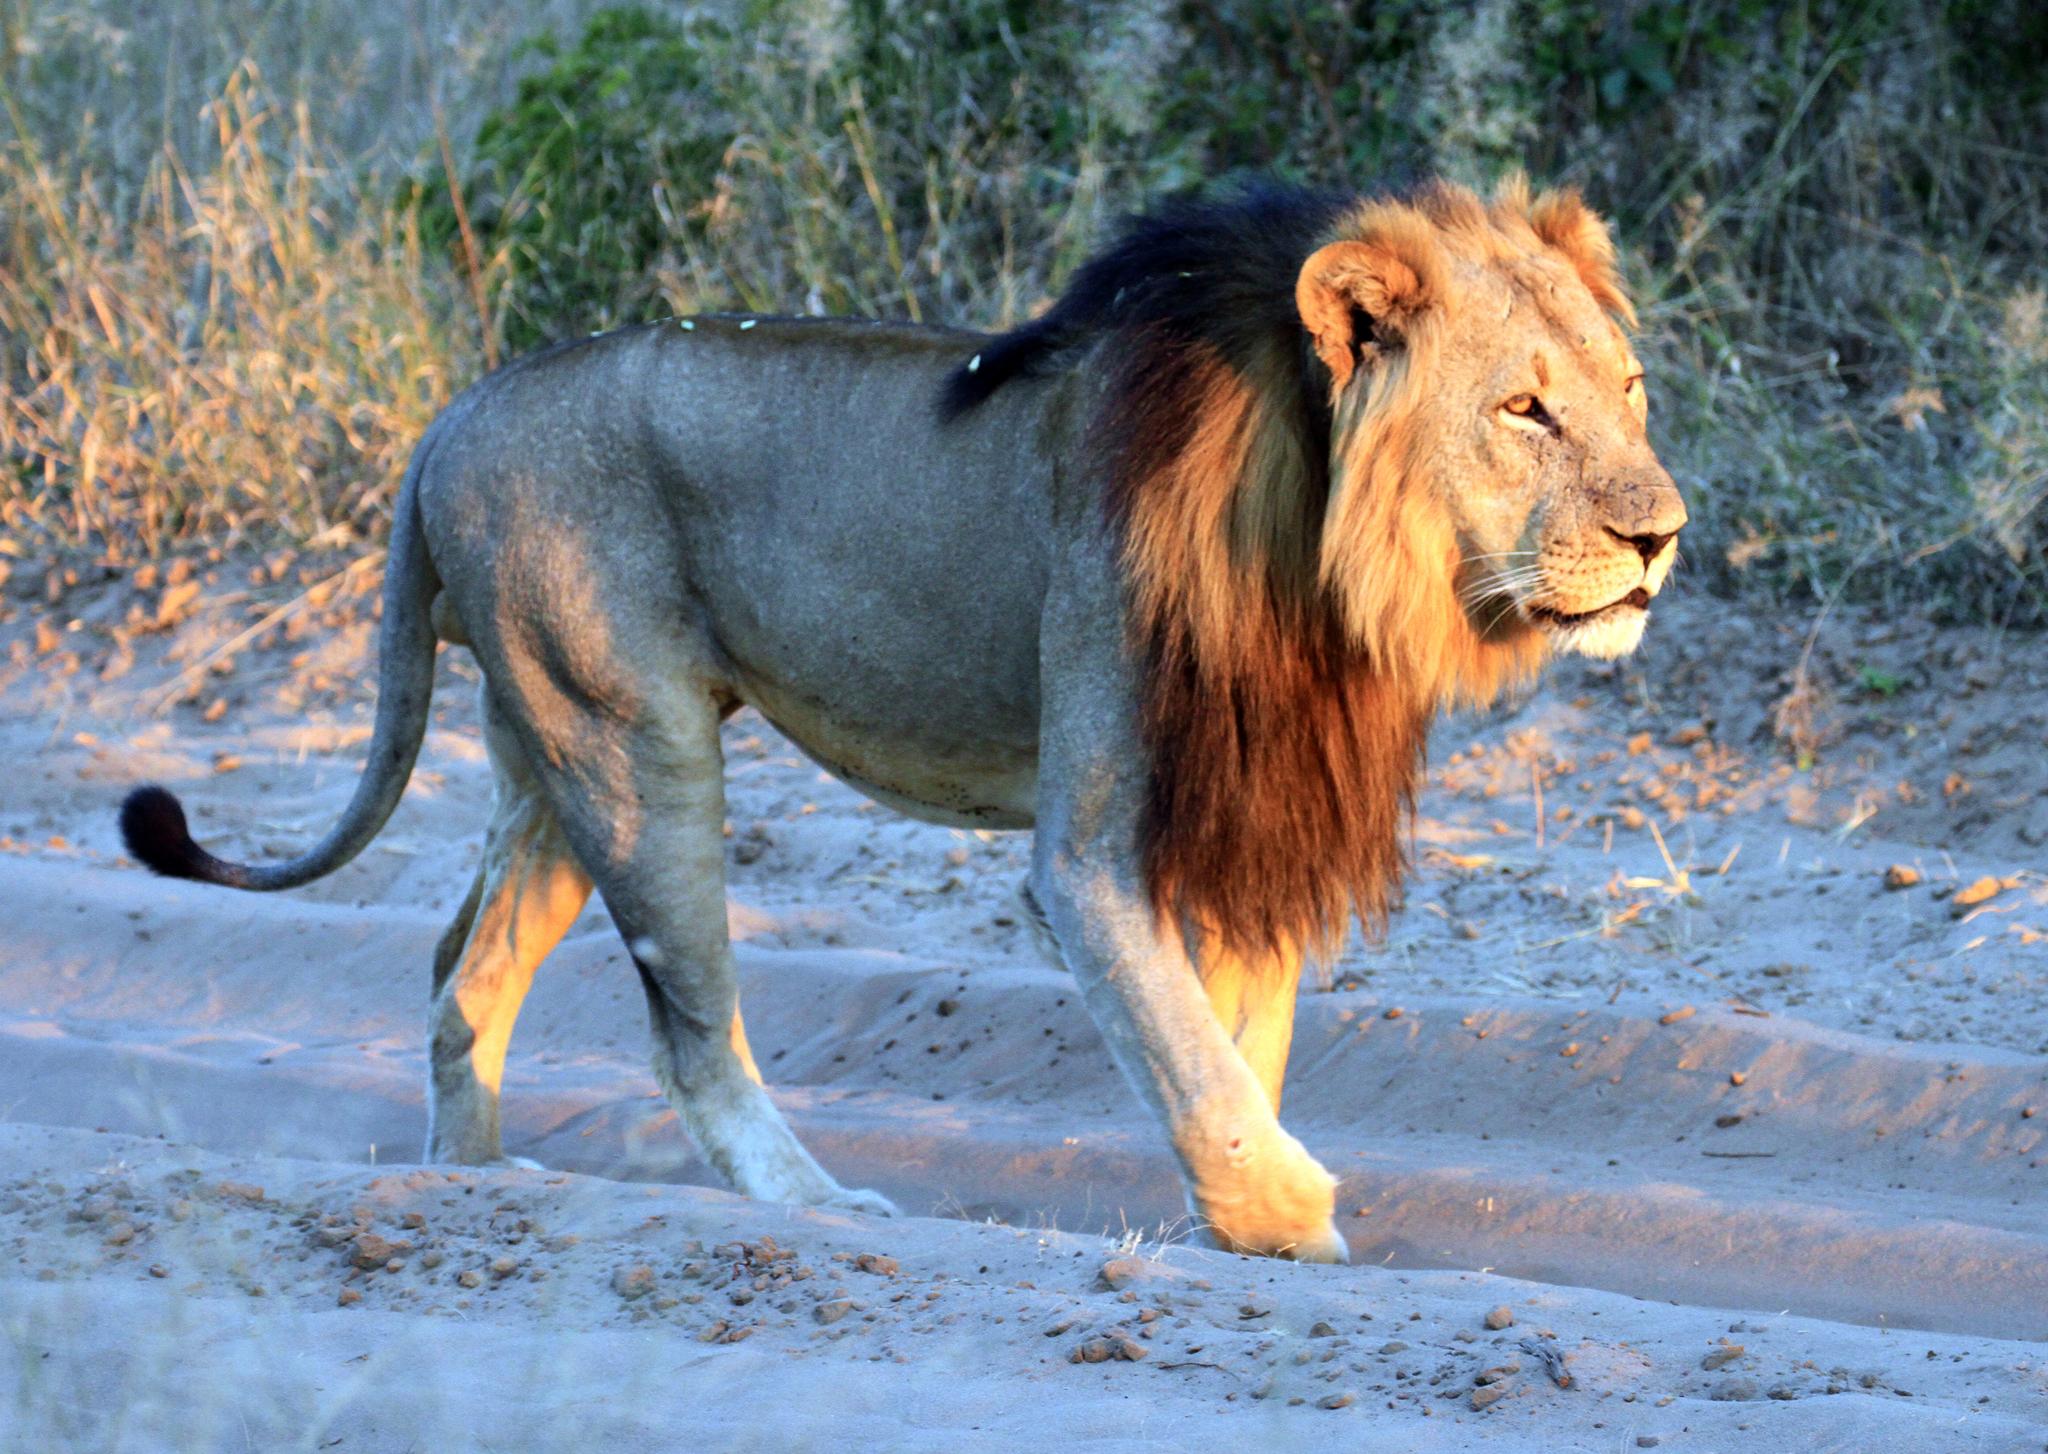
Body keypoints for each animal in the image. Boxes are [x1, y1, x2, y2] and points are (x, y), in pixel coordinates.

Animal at [119, 174, 1679, 1261]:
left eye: (1629, 389)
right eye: (1524, 409)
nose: (1661, 535)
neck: (1332, 561)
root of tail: (454, 414)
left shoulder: (1252, 803)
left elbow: (1238, 1037)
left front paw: (1238, 1220)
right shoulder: (1093, 840)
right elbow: (1184, 1045)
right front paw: (1283, 1213)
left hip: (551, 752)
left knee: (463, 973)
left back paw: (472, 1181)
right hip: (637, 748)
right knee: (688, 1025)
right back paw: (813, 1204)